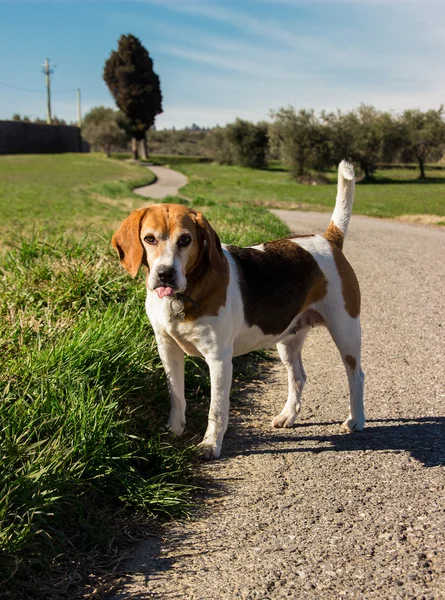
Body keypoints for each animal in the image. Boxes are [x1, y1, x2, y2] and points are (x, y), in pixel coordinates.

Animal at [112, 161, 364, 460]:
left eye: (185, 240)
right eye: (149, 238)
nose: (165, 274)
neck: (185, 294)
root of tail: (328, 239)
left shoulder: (219, 359)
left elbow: (216, 409)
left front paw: (210, 444)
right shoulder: (167, 349)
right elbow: (176, 394)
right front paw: (173, 430)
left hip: (345, 330)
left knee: (356, 375)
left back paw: (356, 420)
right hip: (288, 338)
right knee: (298, 377)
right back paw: (288, 416)